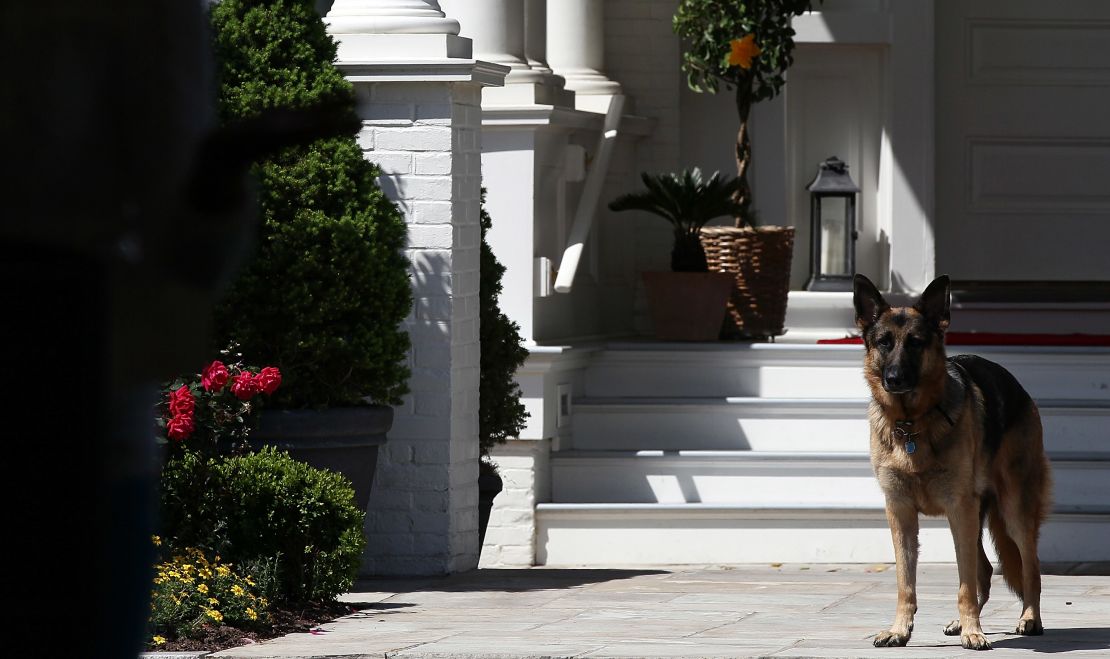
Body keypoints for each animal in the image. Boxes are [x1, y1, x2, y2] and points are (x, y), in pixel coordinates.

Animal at [852, 270, 1052, 647]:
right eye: (884, 342)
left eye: (915, 342)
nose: (894, 379)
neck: (911, 424)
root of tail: (1018, 386)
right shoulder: (900, 512)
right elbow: (906, 583)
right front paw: (900, 630)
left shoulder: (960, 508)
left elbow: (965, 585)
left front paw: (974, 632)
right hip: (972, 516)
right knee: (985, 570)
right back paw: (963, 623)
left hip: (1012, 511)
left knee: (1029, 568)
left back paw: (1029, 619)